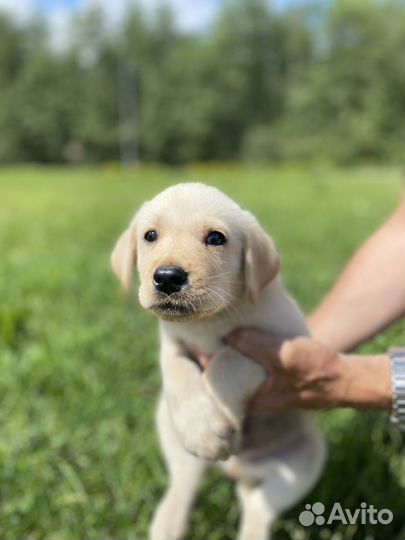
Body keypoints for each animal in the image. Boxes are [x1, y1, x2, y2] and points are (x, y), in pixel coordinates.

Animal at [111, 182, 326, 540]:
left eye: (216, 238)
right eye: (150, 235)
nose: (167, 277)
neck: (209, 320)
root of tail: (236, 466)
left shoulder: (281, 345)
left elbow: (224, 361)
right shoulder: (172, 344)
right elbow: (180, 371)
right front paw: (204, 429)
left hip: (304, 460)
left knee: (258, 506)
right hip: (169, 428)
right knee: (185, 481)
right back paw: (168, 522)